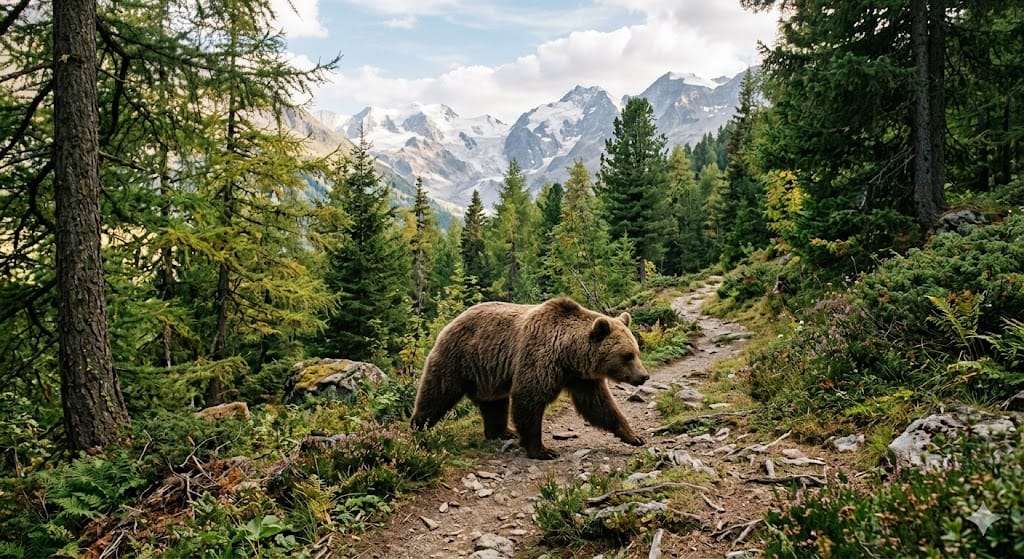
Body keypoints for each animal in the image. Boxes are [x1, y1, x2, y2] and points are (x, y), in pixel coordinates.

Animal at [410, 297, 649, 459]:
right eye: (627, 356)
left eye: (636, 352)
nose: (644, 376)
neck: (569, 355)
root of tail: (453, 320)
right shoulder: (539, 358)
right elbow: (529, 399)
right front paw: (543, 450)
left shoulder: (581, 378)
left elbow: (599, 405)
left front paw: (634, 436)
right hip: (459, 358)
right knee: (437, 393)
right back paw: (419, 427)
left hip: (488, 374)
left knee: (494, 404)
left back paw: (502, 431)